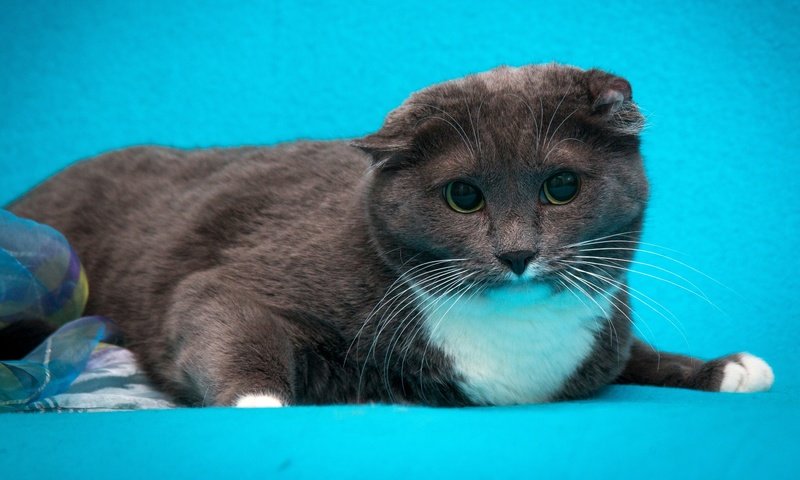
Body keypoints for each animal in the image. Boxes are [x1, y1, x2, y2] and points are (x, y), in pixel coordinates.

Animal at [3, 63, 772, 406]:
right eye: (463, 196)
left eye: (561, 187)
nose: (517, 251)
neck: (517, 340)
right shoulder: (240, 275)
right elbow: (222, 314)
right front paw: (260, 403)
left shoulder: (605, 333)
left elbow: (640, 357)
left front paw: (725, 367)